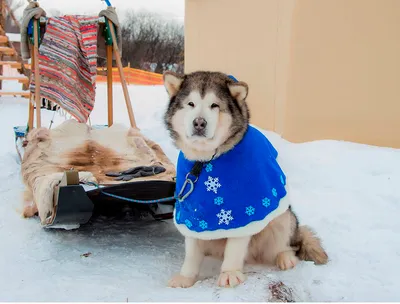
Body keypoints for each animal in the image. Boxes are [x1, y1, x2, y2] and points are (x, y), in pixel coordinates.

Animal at [162, 70, 328, 288]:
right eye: (190, 104)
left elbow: (235, 246)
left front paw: (230, 273)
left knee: (287, 244)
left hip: (283, 218)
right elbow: (191, 250)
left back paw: (285, 257)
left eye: (215, 105)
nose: (199, 123)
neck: (207, 161)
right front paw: (186, 277)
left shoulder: (244, 209)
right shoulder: (190, 208)